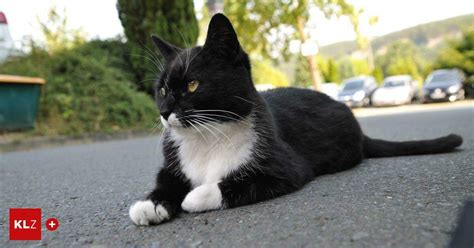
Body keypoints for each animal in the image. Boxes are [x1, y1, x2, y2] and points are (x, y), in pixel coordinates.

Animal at [129, 13, 462, 226]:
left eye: (192, 85)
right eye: (162, 89)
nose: (164, 112)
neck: (207, 136)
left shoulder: (285, 168)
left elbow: (232, 184)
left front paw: (193, 197)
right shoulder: (173, 166)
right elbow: (165, 182)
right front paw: (151, 204)